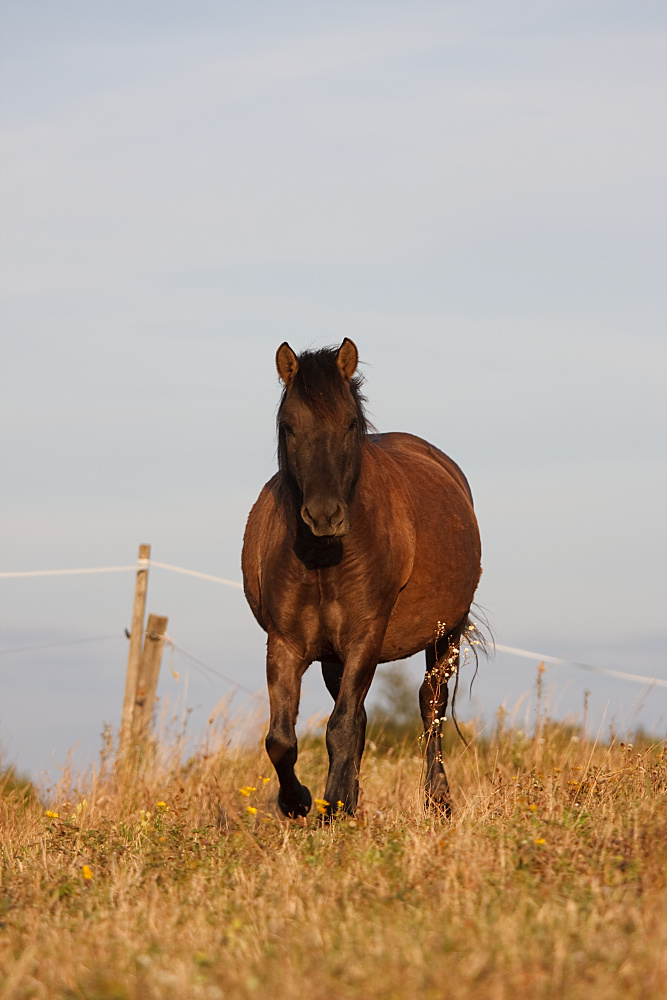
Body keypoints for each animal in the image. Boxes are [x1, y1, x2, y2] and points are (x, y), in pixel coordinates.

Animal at [243, 340, 482, 816]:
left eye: (350, 423)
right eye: (288, 426)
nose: (324, 515)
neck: (323, 560)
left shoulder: (365, 636)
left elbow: (342, 727)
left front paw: (332, 805)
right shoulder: (286, 644)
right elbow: (282, 739)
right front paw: (302, 801)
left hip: (445, 633)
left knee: (431, 706)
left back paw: (437, 800)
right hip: (334, 657)